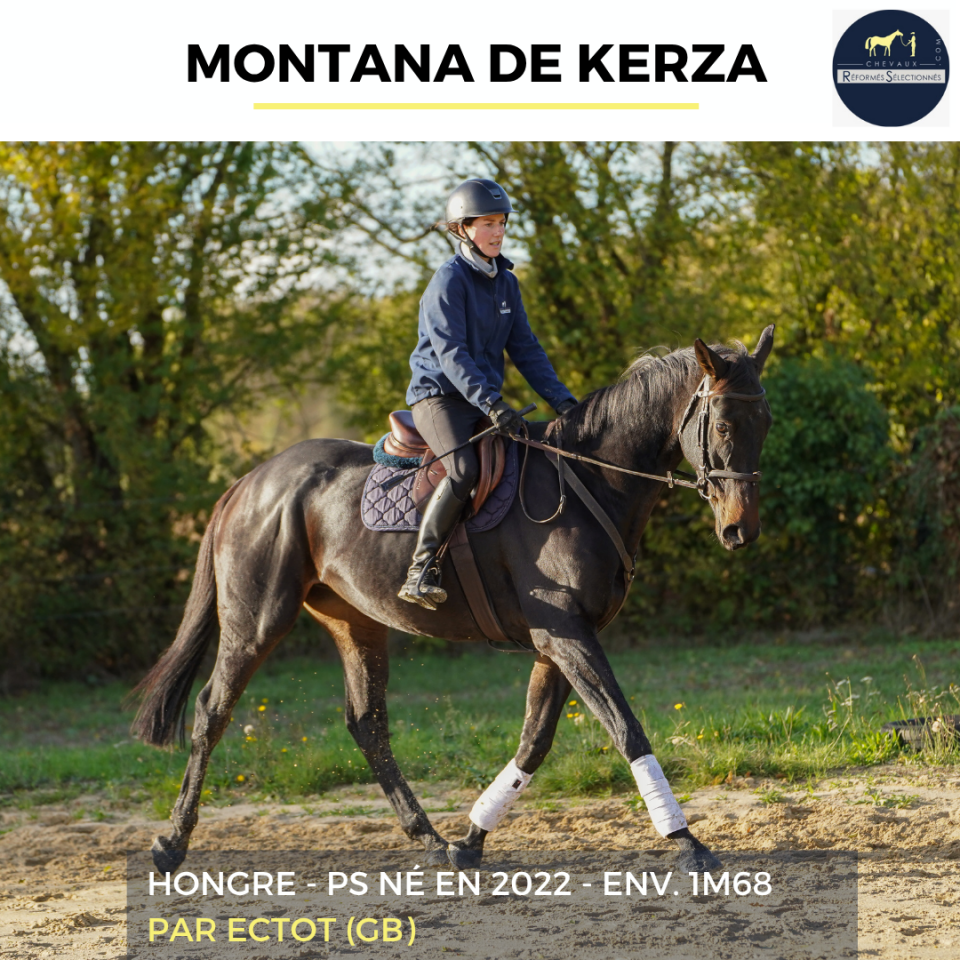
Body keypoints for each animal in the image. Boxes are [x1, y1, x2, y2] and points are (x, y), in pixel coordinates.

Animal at [132, 328, 775, 875]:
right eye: (721, 425)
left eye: (764, 421)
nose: (740, 530)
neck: (586, 485)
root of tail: (252, 480)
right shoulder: (564, 635)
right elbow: (627, 729)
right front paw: (686, 842)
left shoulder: (560, 643)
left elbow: (534, 742)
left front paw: (471, 840)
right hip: (256, 622)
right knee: (212, 711)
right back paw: (172, 844)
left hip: (355, 623)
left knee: (367, 724)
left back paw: (430, 838)